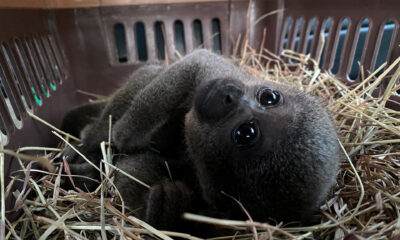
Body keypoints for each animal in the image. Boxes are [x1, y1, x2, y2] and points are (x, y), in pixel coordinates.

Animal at [62, 49, 340, 234]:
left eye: (246, 133)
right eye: (269, 97)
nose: (229, 94)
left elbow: (135, 172)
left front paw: (169, 211)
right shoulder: (217, 74)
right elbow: (197, 61)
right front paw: (122, 134)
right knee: (148, 77)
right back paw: (94, 137)